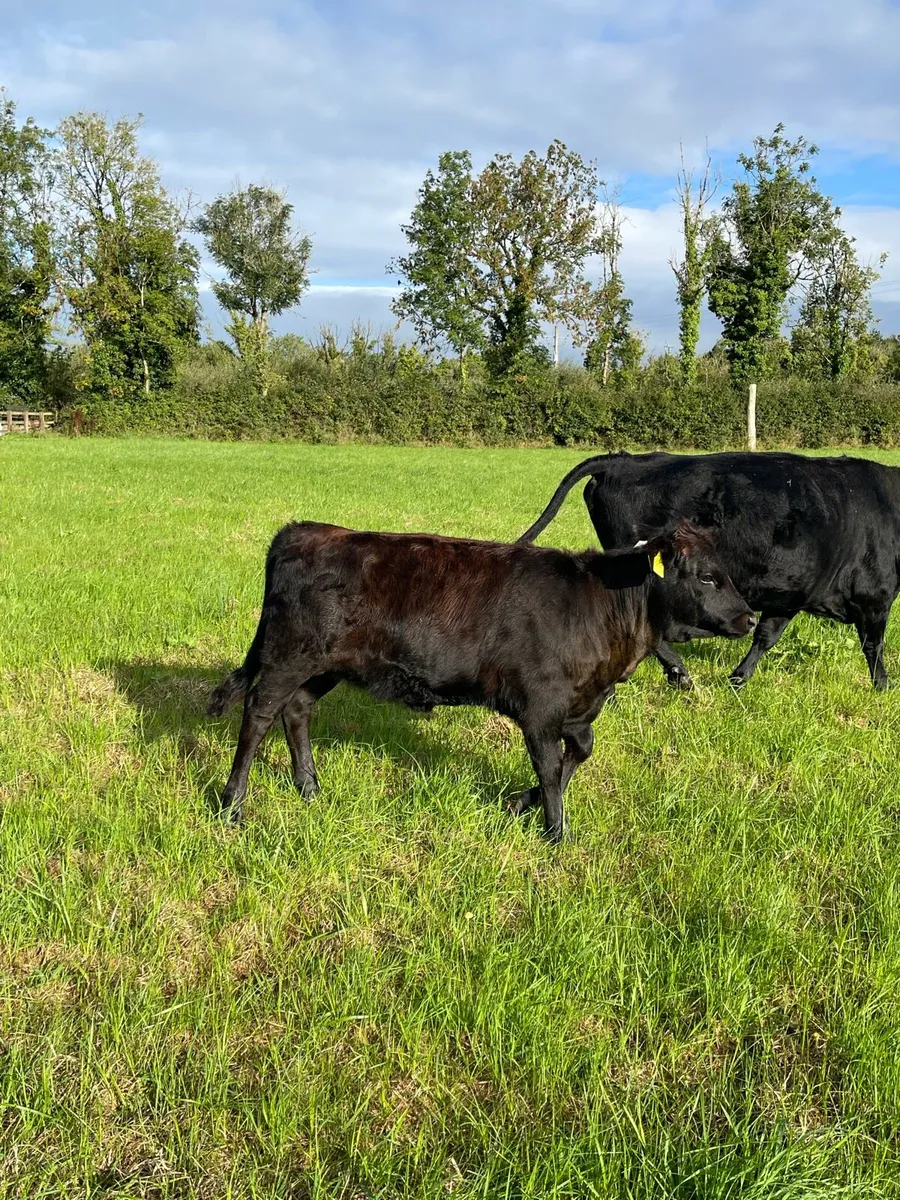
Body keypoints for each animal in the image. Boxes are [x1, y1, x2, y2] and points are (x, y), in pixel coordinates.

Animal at [206, 519, 755, 842]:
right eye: (707, 577)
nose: (750, 618)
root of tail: (305, 530)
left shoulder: (577, 707)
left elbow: (578, 755)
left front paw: (520, 804)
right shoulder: (540, 707)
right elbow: (550, 769)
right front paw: (556, 833)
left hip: (326, 666)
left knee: (297, 711)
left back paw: (310, 789)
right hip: (288, 656)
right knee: (258, 714)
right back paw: (233, 805)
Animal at [517, 449, 900, 691]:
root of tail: (623, 461)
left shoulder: (791, 593)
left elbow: (765, 636)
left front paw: (738, 679)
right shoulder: (876, 596)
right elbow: (874, 644)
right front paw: (882, 686)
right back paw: (678, 674)